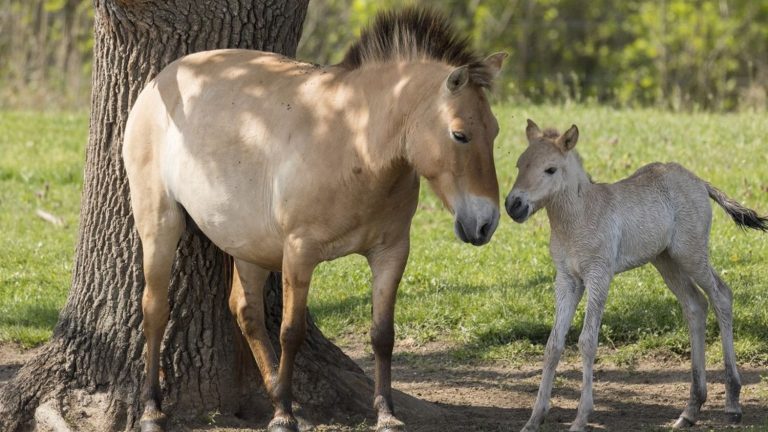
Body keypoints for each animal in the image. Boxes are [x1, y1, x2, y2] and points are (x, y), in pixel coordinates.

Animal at [123, 7, 508, 432]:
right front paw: (283, 416)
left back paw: (277, 392)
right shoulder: (299, 252)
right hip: (160, 224)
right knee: (155, 309)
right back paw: (152, 409)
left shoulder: (391, 252)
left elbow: (382, 334)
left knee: (246, 311)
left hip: (248, 245)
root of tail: (158, 82)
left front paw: (385, 412)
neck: (354, 139)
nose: (486, 223)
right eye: (460, 135)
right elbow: (291, 332)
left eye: (494, 131)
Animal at [508, 119, 764, 432]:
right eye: (520, 164)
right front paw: (534, 419)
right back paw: (690, 410)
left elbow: (587, 341)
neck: (578, 217)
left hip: (691, 254)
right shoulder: (566, 279)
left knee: (721, 296)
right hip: (666, 260)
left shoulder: (599, 275)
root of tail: (698, 182)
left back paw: (732, 403)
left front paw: (581, 418)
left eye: (550, 169)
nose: (513, 205)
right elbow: (553, 344)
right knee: (695, 305)